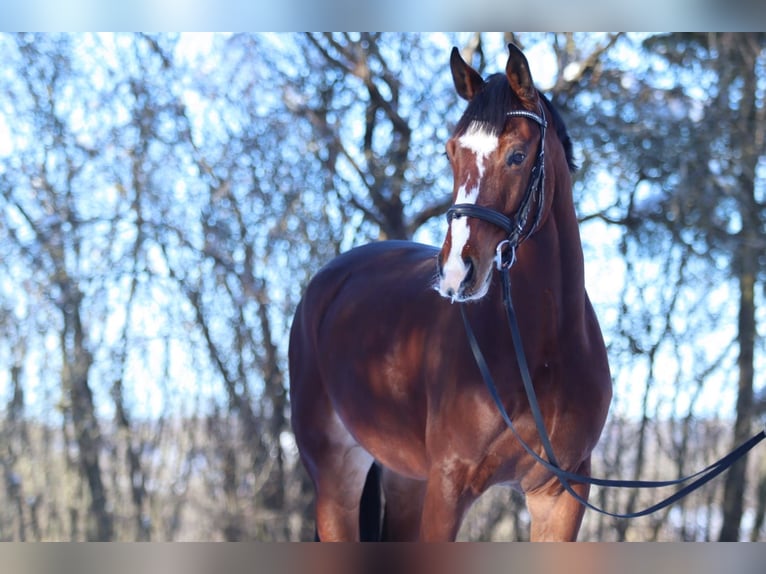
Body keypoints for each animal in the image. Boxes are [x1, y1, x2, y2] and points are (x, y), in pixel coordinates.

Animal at [288, 45, 612, 544]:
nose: (458, 271)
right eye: (450, 152)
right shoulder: (448, 486)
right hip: (336, 479)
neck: (542, 347)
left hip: (406, 481)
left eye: (518, 155)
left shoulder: (560, 496)